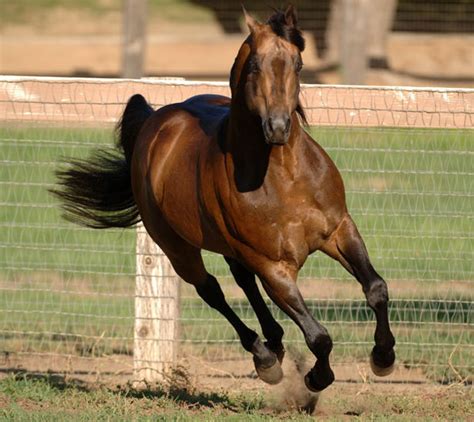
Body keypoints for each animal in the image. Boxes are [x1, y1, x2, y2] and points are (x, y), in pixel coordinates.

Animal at [52, 4, 396, 392]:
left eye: (298, 64)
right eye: (255, 65)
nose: (278, 128)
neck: (285, 178)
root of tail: (157, 118)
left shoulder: (339, 230)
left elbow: (376, 288)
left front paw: (383, 358)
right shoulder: (274, 267)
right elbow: (318, 336)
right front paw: (315, 378)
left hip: (230, 246)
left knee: (243, 282)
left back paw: (275, 342)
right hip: (177, 248)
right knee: (212, 290)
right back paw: (265, 358)